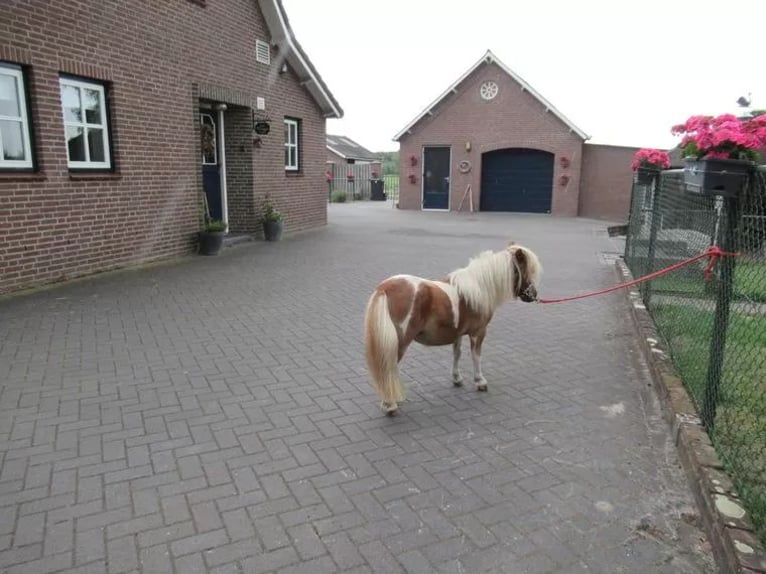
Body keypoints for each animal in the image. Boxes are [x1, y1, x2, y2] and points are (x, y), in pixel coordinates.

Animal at [363, 241, 542, 415]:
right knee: (388, 367)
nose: (533, 295)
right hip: (399, 343)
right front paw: (480, 381)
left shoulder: (458, 333)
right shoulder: (478, 332)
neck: (479, 288)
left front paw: (457, 379)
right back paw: (390, 404)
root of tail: (385, 288)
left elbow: (457, 354)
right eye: (526, 270)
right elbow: (476, 356)